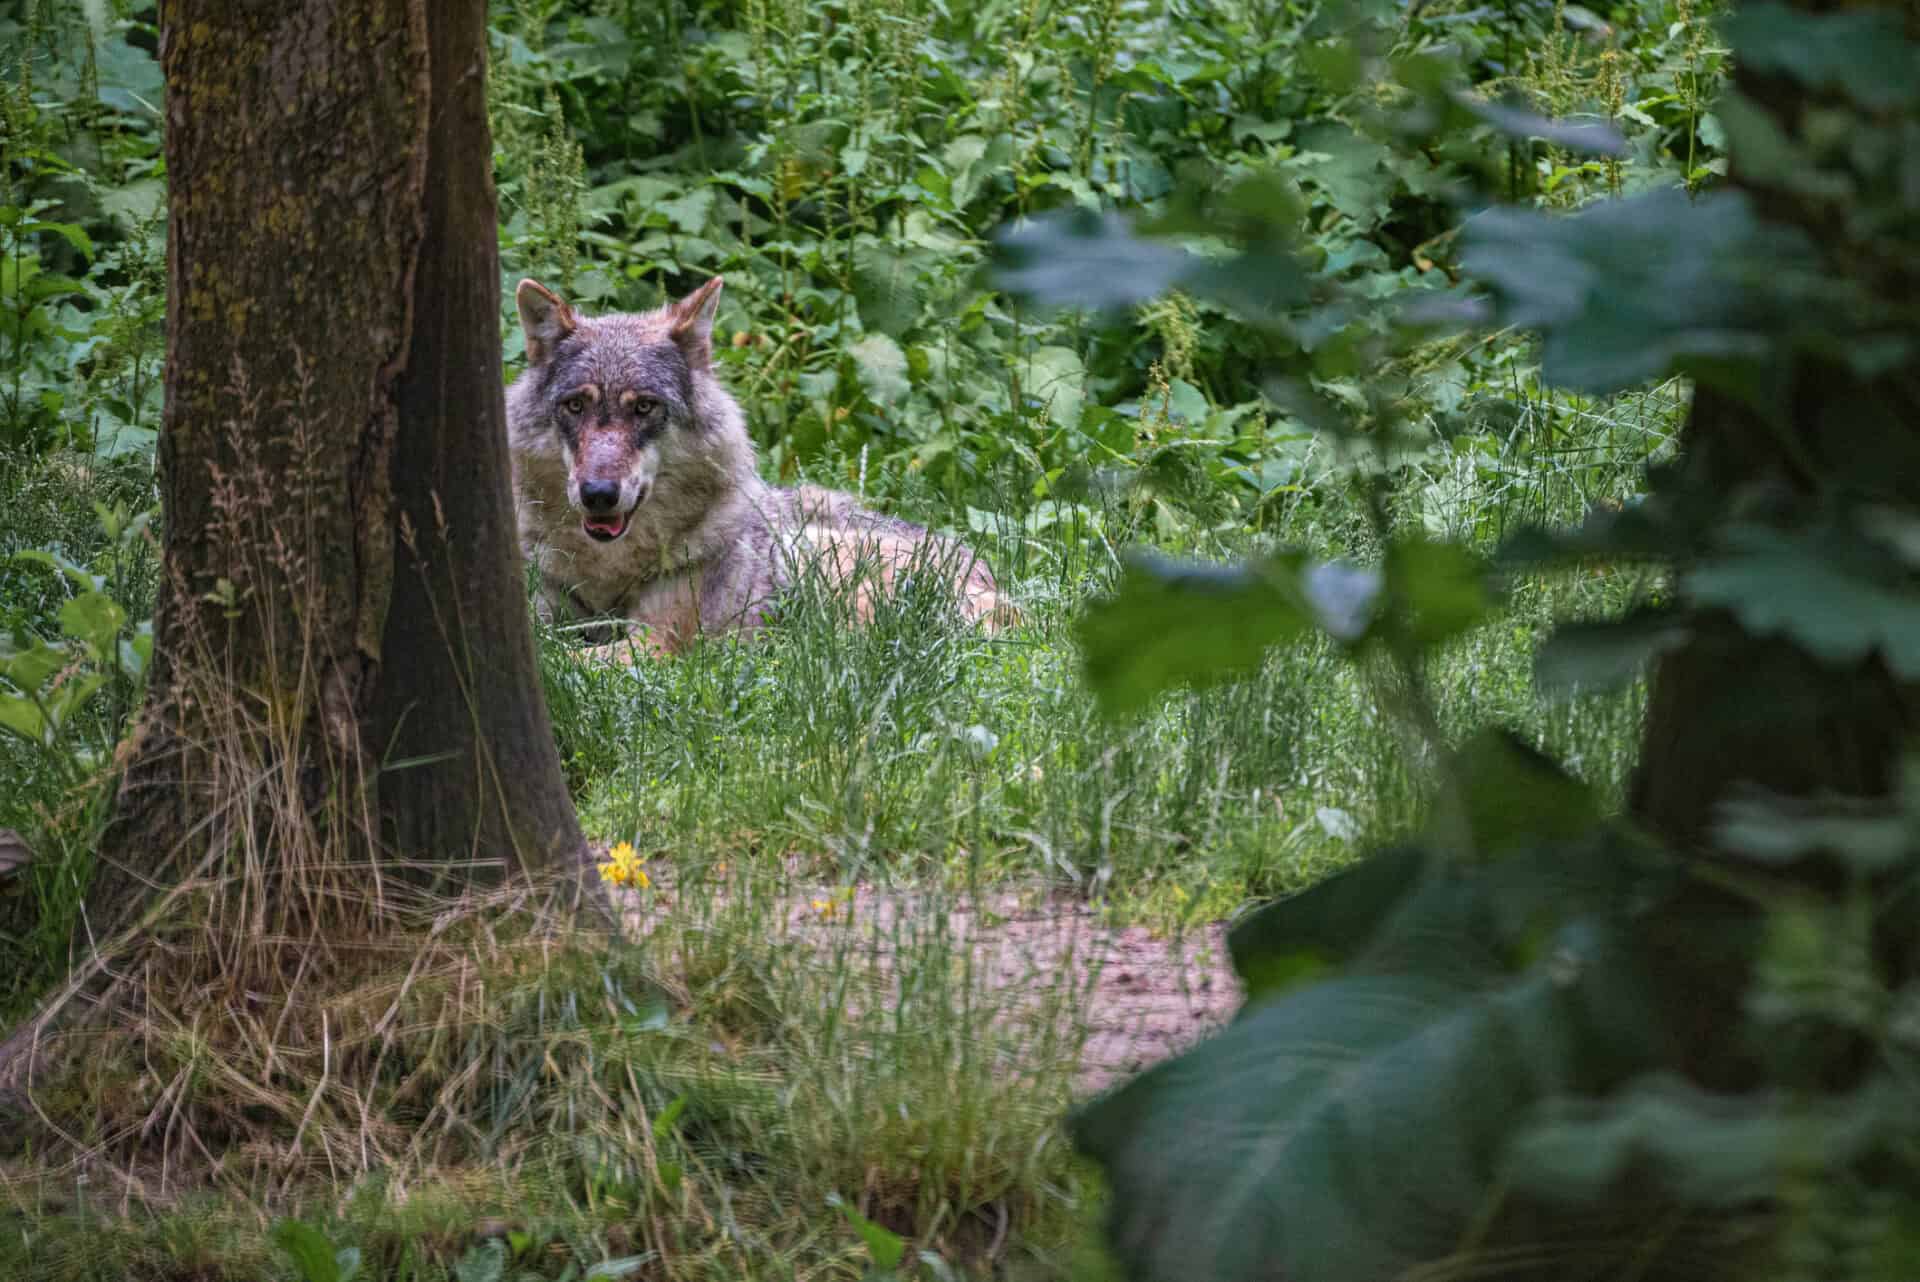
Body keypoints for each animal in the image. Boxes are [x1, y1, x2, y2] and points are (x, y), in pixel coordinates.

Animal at [505, 275, 1008, 655]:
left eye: (644, 407)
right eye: (575, 406)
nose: (597, 495)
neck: (608, 573)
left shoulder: (655, 644)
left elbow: (579, 661)